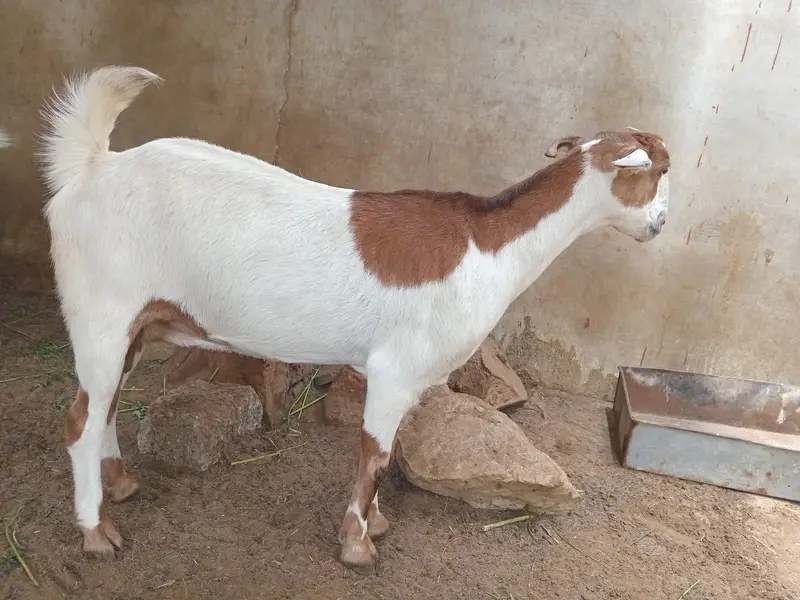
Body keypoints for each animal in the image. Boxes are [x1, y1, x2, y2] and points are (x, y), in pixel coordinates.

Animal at [39, 66, 670, 573]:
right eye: (661, 170)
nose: (661, 225)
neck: (487, 246)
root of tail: (91, 169)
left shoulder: (406, 377)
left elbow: (386, 454)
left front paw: (376, 523)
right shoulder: (395, 368)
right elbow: (376, 455)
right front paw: (358, 545)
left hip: (135, 325)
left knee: (106, 406)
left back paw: (120, 485)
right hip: (101, 312)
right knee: (78, 421)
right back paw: (96, 534)